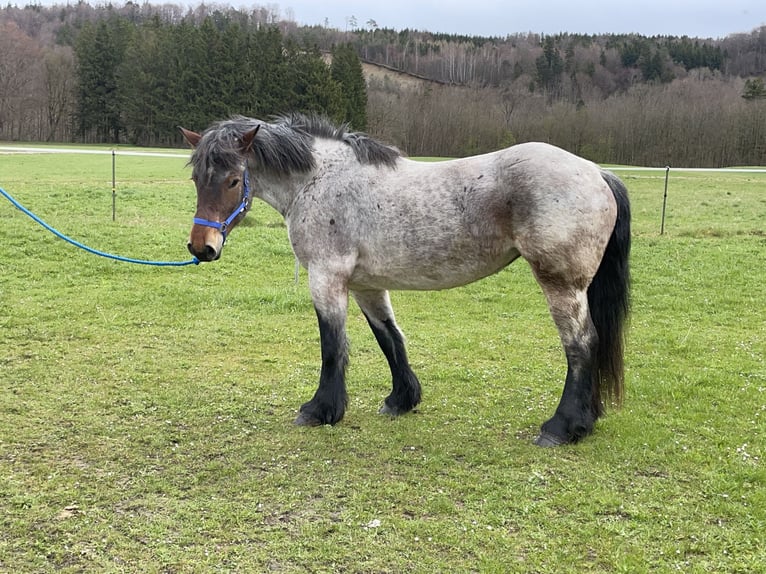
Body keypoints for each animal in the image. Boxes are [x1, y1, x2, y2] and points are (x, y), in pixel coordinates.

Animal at [180, 115, 632, 448]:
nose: (202, 247)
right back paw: (585, 421)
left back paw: (561, 427)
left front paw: (320, 410)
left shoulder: (326, 277)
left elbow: (332, 346)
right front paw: (402, 400)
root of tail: (597, 173)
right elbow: (389, 338)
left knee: (581, 345)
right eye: (197, 180)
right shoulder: (366, 285)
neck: (320, 180)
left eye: (233, 180)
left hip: (561, 285)